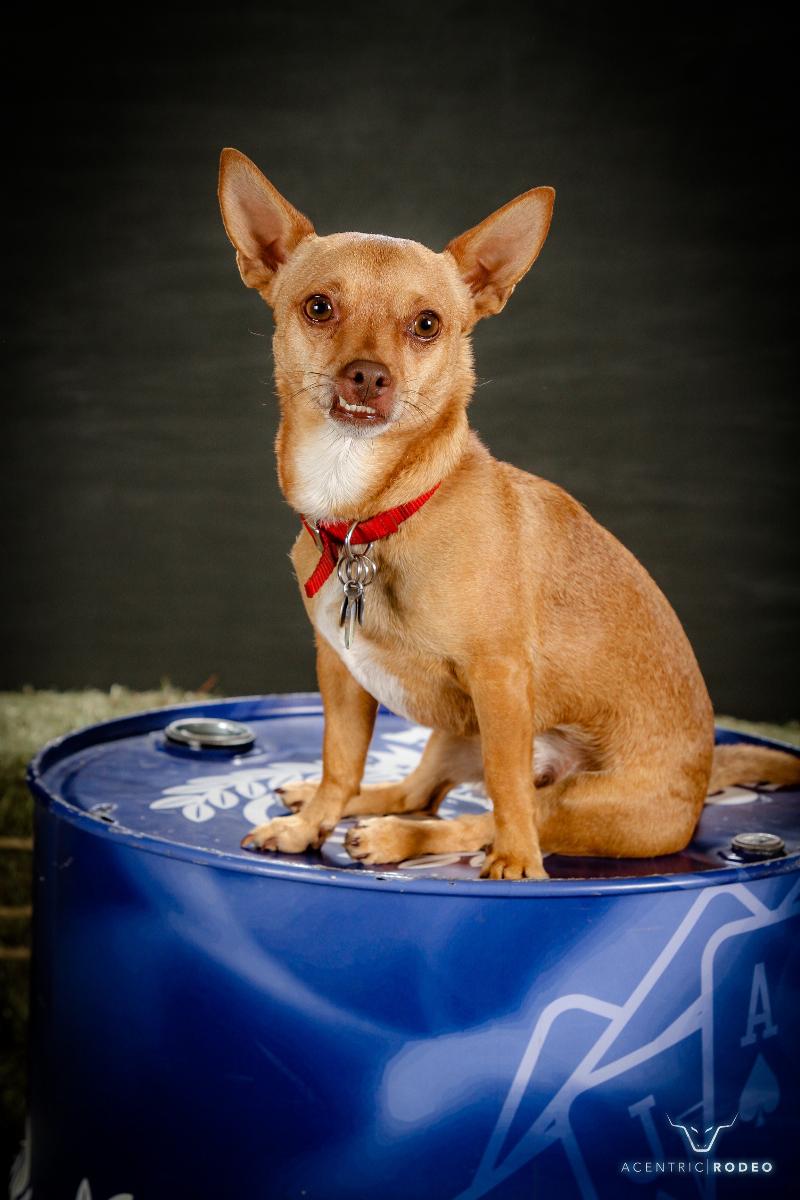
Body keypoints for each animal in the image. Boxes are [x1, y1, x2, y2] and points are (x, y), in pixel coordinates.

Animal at [219, 150, 800, 883]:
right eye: (319, 307)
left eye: (428, 324)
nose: (368, 376)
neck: (371, 514)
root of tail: (701, 787)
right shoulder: (341, 674)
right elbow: (339, 763)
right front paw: (308, 827)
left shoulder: (498, 679)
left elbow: (502, 785)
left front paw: (518, 863)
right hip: (450, 732)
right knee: (418, 791)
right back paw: (357, 810)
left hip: (581, 798)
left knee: (488, 810)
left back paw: (406, 840)